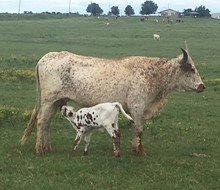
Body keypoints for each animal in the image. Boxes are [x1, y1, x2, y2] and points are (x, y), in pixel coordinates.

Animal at [19, 44, 205, 156]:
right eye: (191, 68)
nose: (202, 86)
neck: (153, 74)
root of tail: (46, 57)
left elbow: (135, 130)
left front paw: (135, 149)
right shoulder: (137, 107)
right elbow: (139, 129)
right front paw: (140, 151)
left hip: (58, 101)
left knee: (47, 122)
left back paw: (49, 148)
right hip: (48, 101)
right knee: (41, 121)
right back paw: (39, 149)